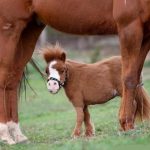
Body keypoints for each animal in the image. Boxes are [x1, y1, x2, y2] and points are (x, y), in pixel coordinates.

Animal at [0, 0, 149, 145]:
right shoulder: (129, 25)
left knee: (12, 79)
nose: (52, 86)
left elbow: (135, 77)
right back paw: (6, 135)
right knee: (5, 78)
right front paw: (126, 124)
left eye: (62, 70)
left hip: (29, 29)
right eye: (46, 71)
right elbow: (129, 78)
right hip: (9, 28)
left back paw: (17, 135)